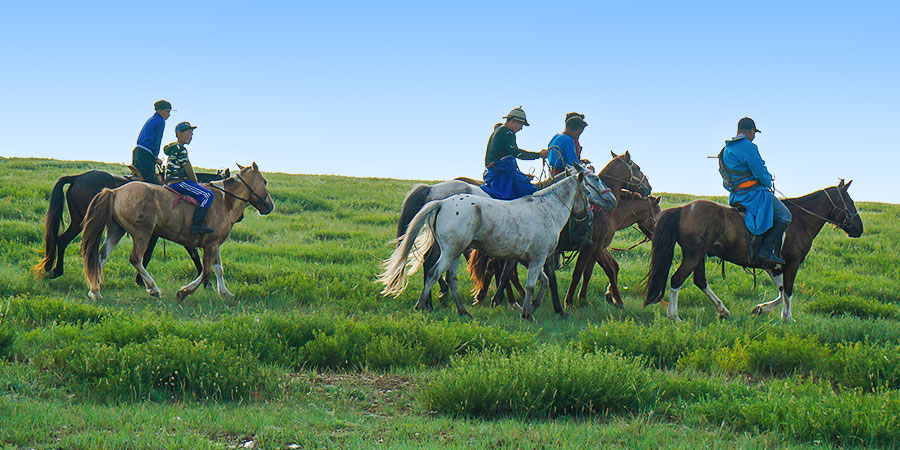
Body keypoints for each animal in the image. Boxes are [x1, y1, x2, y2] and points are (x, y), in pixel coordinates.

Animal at [34, 168, 229, 284]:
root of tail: (77, 178)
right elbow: (153, 254)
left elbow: (191, 253)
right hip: (82, 221)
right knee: (64, 241)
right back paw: (57, 271)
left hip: (78, 221)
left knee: (61, 240)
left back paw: (53, 270)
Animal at [81, 163, 273, 301]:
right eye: (264, 181)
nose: (270, 206)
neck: (223, 201)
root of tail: (115, 191)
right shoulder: (209, 244)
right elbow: (205, 270)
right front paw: (185, 291)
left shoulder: (215, 244)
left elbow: (218, 269)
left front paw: (225, 293)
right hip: (142, 232)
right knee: (136, 259)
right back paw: (153, 288)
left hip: (116, 230)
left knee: (101, 256)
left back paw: (95, 290)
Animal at [379, 169, 609, 320]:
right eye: (593, 184)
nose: (588, 216)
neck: (546, 209)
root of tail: (442, 202)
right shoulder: (538, 258)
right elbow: (532, 284)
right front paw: (528, 313)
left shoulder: (529, 259)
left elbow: (541, 282)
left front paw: (533, 306)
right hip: (450, 252)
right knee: (433, 272)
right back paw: (422, 305)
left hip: (455, 253)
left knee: (450, 278)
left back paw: (463, 311)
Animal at [644, 180, 863, 321]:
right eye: (850, 202)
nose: (859, 229)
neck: (800, 220)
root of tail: (683, 209)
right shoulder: (791, 264)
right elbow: (789, 291)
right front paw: (787, 318)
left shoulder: (773, 266)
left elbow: (781, 292)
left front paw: (761, 309)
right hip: (693, 256)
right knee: (677, 280)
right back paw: (674, 316)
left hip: (698, 257)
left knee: (700, 281)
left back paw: (722, 310)